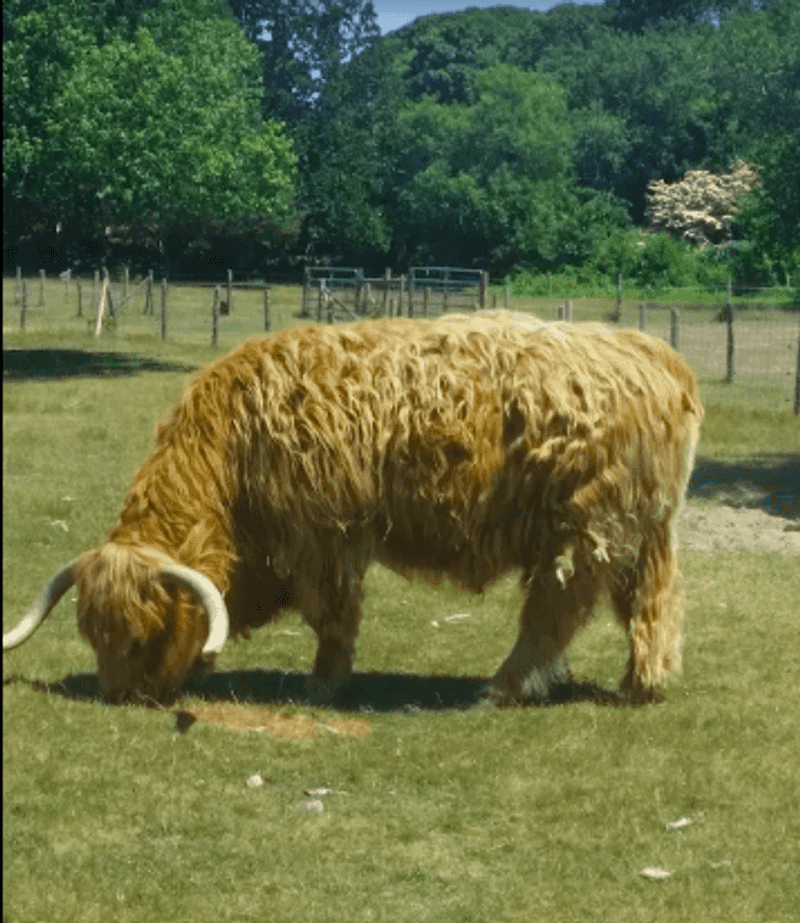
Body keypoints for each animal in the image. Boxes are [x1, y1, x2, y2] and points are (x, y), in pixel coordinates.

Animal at [4, 311, 702, 705]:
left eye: (143, 633)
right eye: (93, 634)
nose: (121, 697)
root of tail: (657, 358)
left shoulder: (326, 537)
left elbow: (333, 616)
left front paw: (323, 683)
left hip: (581, 531)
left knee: (554, 614)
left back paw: (503, 688)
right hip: (641, 532)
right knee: (652, 603)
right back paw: (642, 684)